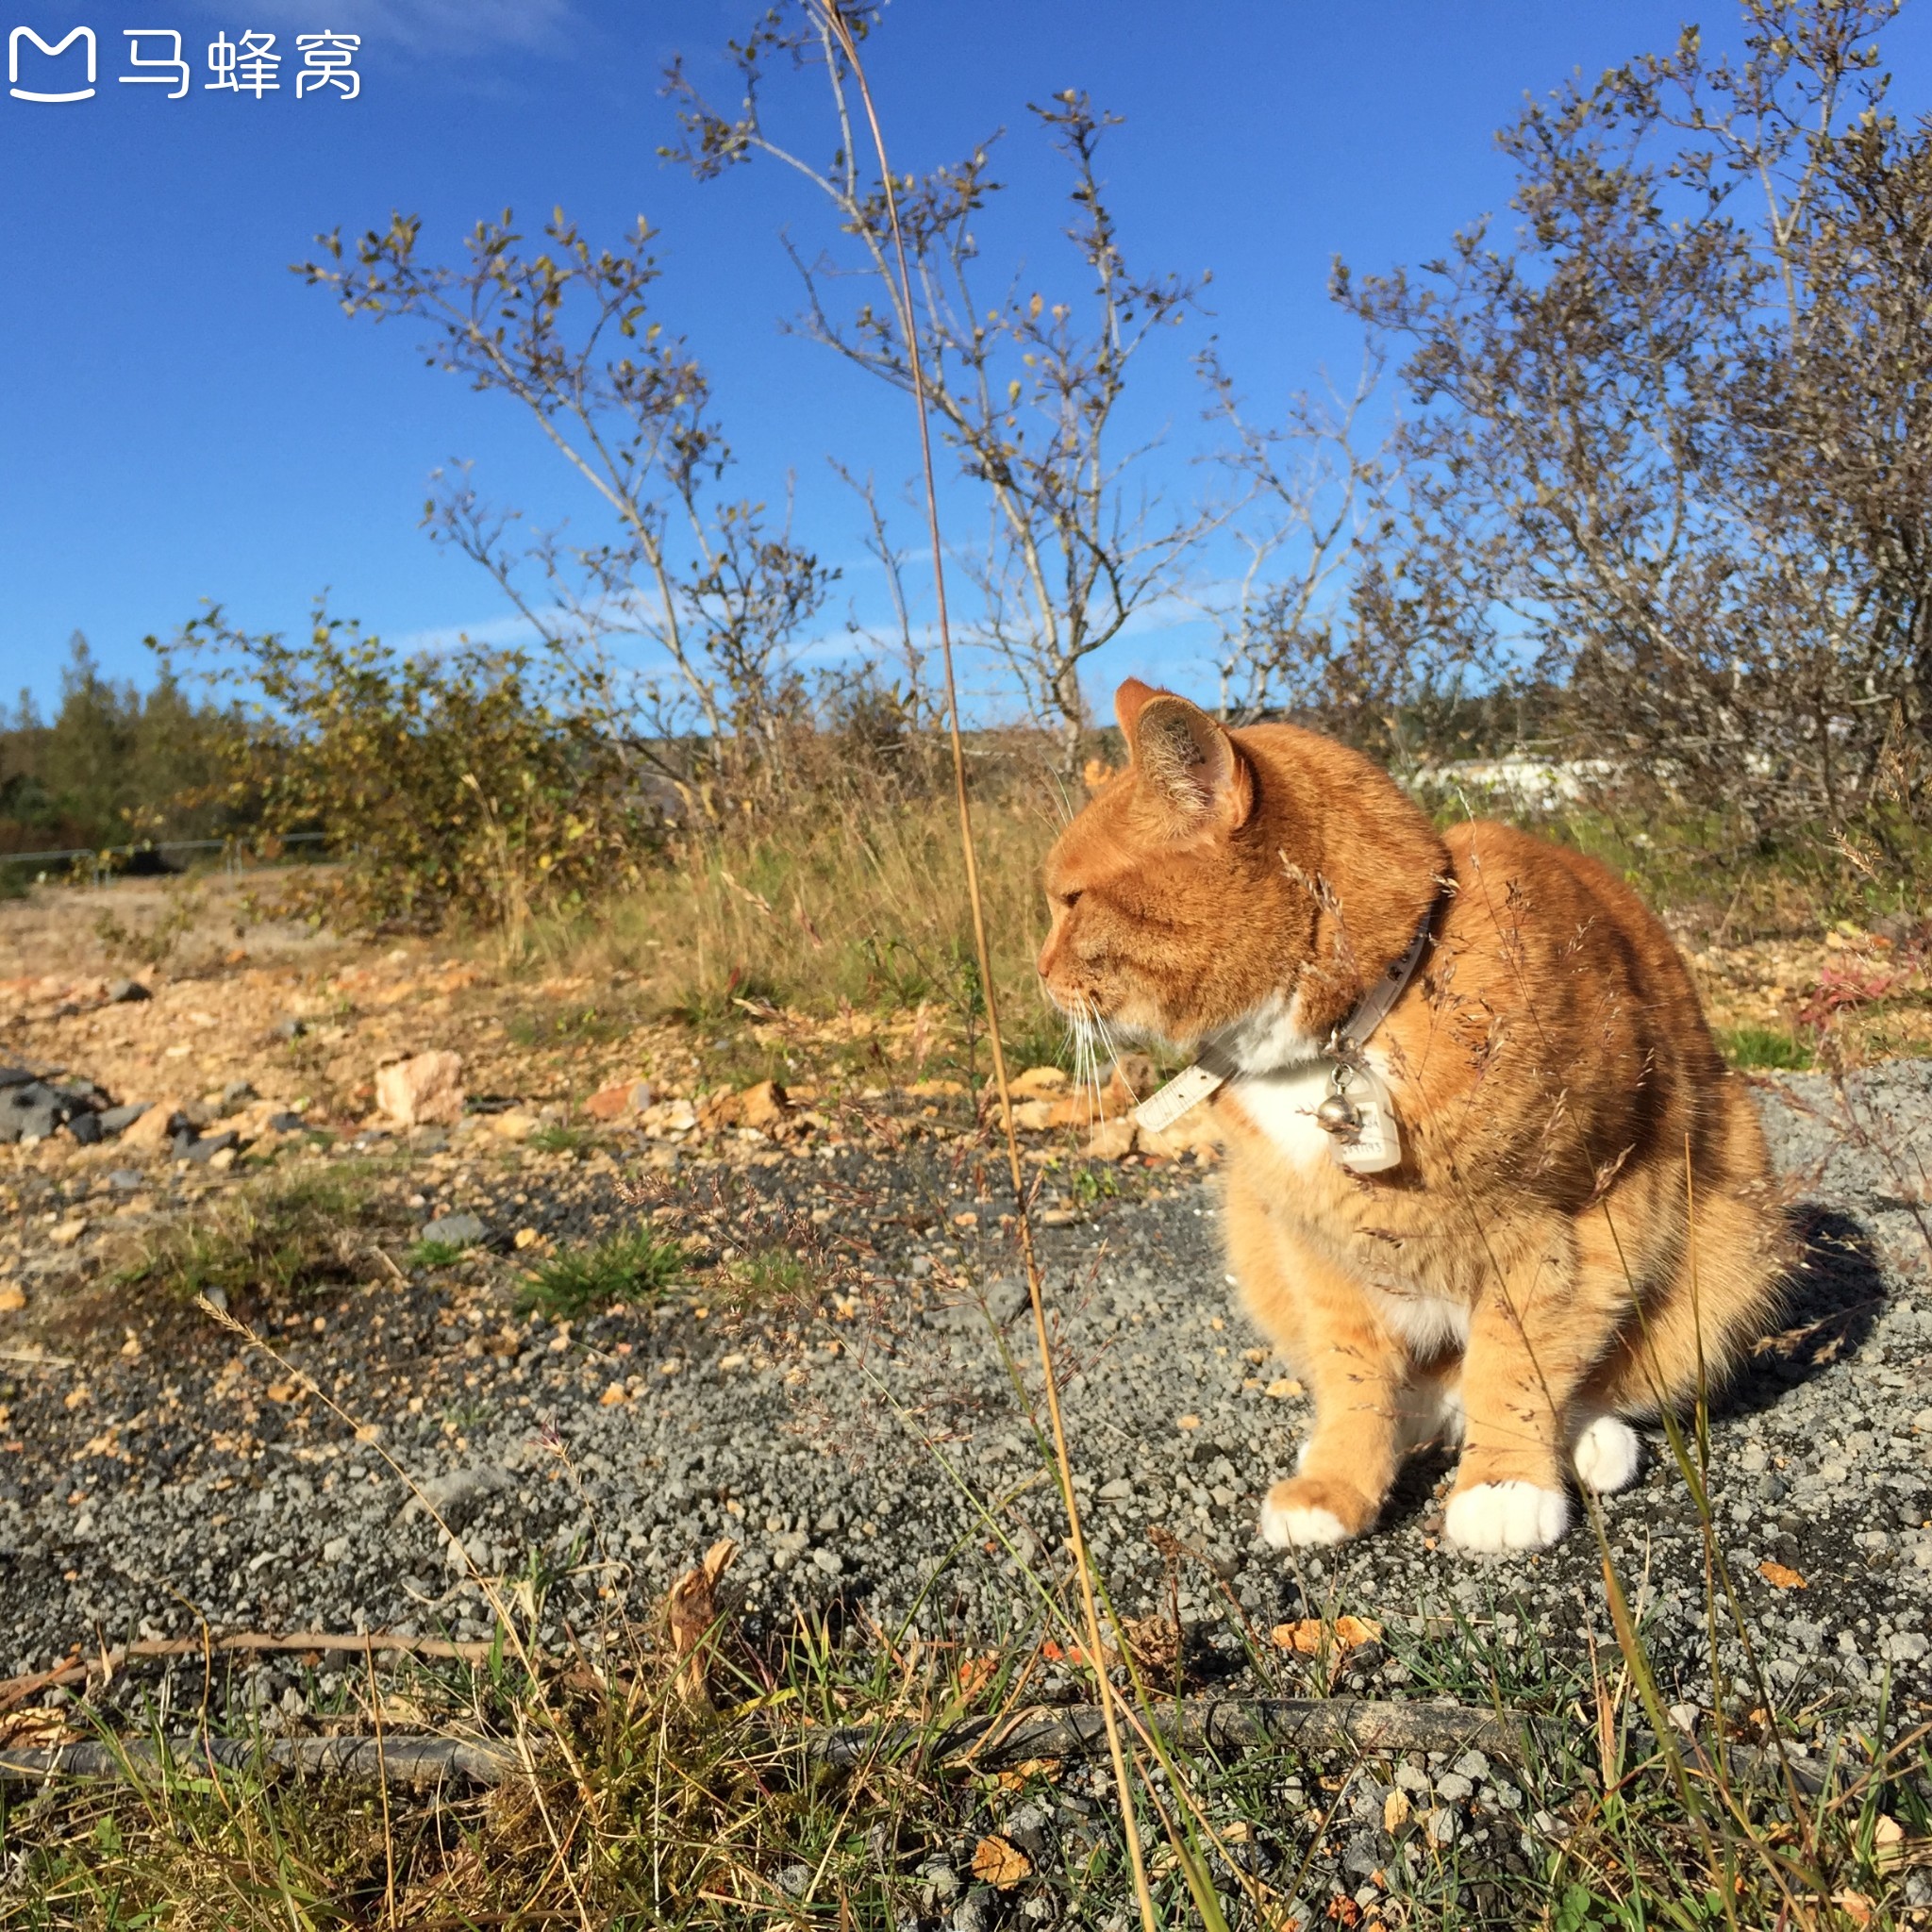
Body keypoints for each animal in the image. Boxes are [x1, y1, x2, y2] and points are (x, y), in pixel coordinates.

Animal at [1042, 679, 1777, 1553]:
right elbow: (1355, 1375)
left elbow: (1521, 1363)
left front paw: (1504, 1484)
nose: (1039, 974)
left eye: (1072, 901)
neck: (1345, 1034)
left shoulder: (1581, 1220)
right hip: (1252, 1232)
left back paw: (1587, 1443)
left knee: (1582, 1377)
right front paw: (1337, 1482)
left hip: (1732, 1227)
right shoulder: (1319, 1248)